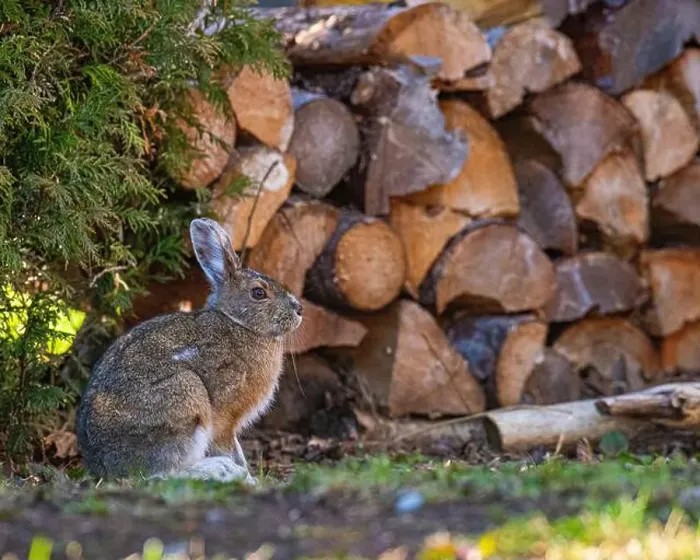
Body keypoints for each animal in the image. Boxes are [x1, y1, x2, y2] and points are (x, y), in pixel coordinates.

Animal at [76, 218, 303, 484]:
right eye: (259, 293)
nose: (299, 309)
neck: (238, 323)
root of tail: (103, 465)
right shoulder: (224, 418)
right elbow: (231, 448)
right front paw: (248, 478)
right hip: (186, 398)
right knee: (163, 473)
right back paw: (220, 470)